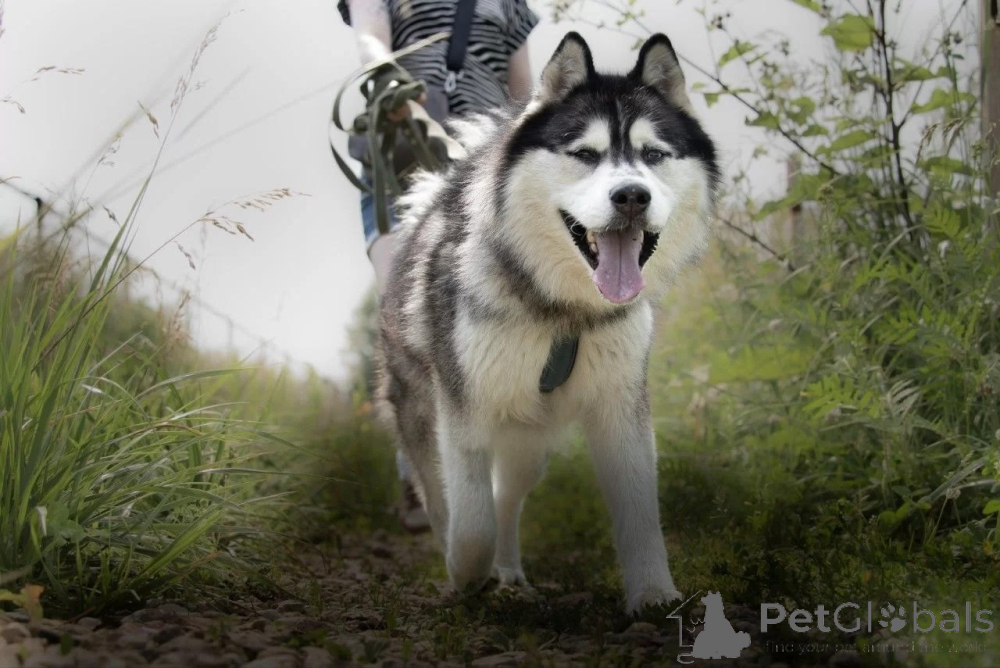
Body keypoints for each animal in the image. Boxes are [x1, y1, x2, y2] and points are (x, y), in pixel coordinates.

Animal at [375, 31, 719, 613]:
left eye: (653, 155)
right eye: (584, 154)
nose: (632, 195)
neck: (563, 312)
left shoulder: (621, 406)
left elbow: (640, 511)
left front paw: (653, 593)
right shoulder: (460, 412)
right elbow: (467, 520)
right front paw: (462, 574)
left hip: (527, 443)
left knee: (506, 499)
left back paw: (509, 571)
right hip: (423, 411)